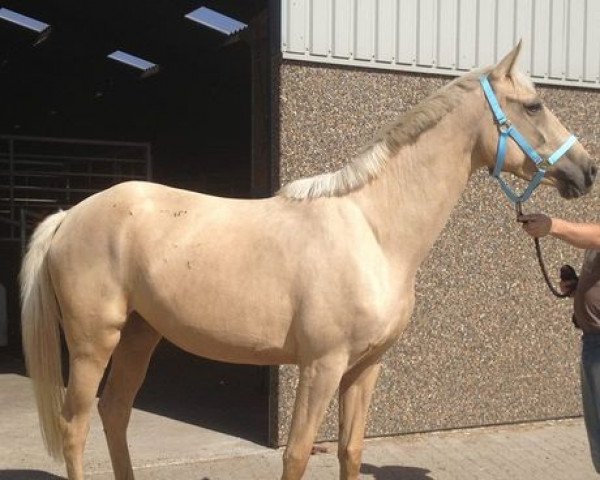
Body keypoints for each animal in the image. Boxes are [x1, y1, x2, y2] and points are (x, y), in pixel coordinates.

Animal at [19, 43, 596, 478]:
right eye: (534, 105)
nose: (586, 170)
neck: (373, 231)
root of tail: (70, 216)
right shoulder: (322, 365)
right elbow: (296, 455)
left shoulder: (364, 368)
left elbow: (350, 451)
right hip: (94, 342)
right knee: (76, 425)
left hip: (141, 333)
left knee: (115, 413)